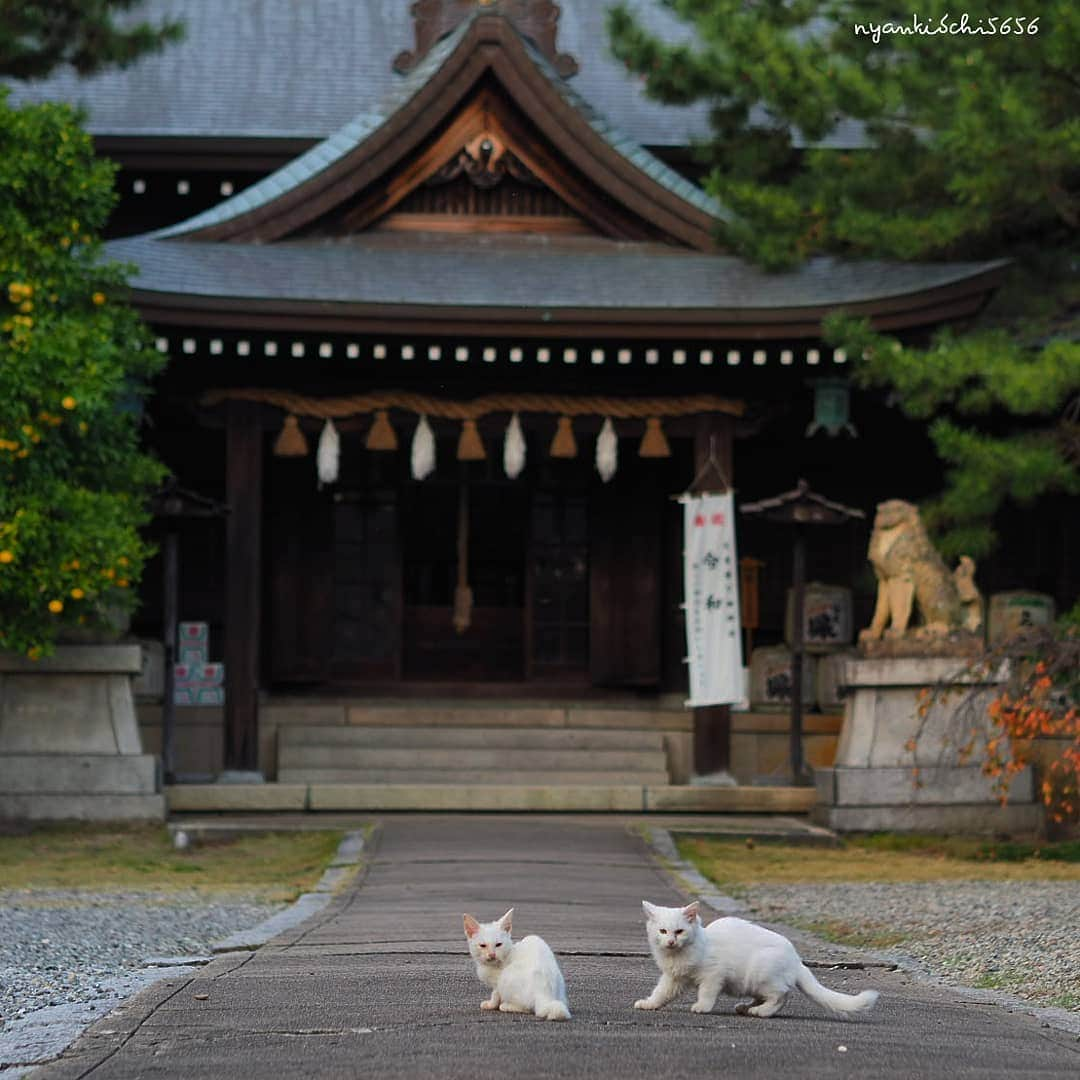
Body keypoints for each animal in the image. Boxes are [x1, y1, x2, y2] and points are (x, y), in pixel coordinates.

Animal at [630, 902, 876, 1019]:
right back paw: (745, 1007)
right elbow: (661, 993)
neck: (679, 956)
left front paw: (702, 1007)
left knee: (781, 996)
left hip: (762, 973)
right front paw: (649, 1004)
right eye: (663, 931)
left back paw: (761, 1012)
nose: (671, 941)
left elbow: (707, 993)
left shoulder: (714, 974)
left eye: (680, 931)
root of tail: (796, 958)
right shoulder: (673, 978)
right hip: (753, 983)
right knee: (768, 996)